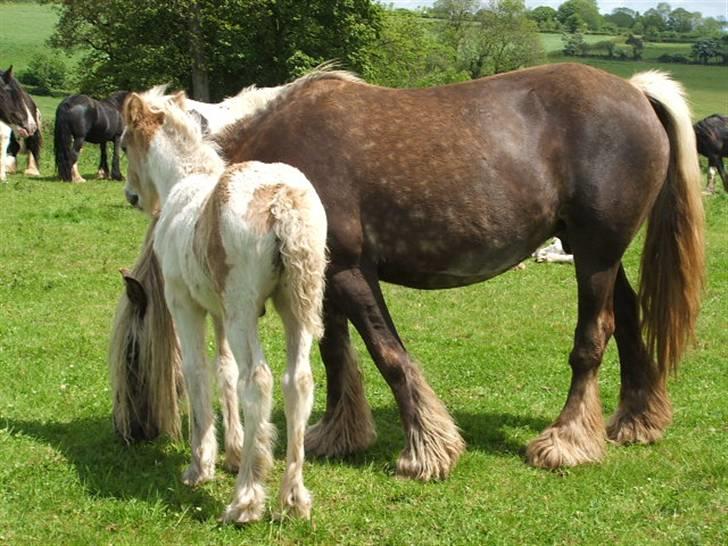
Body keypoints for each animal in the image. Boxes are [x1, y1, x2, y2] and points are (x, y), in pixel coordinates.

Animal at [116, 65, 704, 480]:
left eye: (131, 353)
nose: (134, 432)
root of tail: (636, 92)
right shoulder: (323, 278)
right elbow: (337, 353)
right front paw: (341, 434)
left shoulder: (351, 273)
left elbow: (388, 355)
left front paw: (426, 450)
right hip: (596, 254)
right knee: (627, 316)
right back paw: (637, 421)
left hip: (595, 255)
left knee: (594, 337)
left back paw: (566, 441)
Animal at [122, 89, 328, 524]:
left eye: (123, 143)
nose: (132, 196)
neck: (185, 184)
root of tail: (282, 197)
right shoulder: (215, 310)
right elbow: (225, 370)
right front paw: (232, 453)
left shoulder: (184, 305)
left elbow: (198, 370)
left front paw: (201, 466)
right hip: (294, 309)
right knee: (298, 381)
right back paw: (293, 497)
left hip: (243, 311)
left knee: (260, 380)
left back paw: (245, 501)